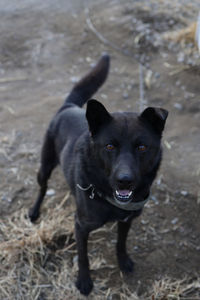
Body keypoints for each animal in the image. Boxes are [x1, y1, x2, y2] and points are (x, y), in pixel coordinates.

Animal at [28, 55, 168, 296]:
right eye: (110, 146)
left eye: (142, 147)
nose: (125, 180)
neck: (107, 195)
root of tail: (69, 106)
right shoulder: (81, 226)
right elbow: (83, 257)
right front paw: (84, 281)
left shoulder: (126, 220)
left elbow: (121, 243)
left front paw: (123, 262)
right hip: (45, 166)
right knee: (43, 187)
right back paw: (35, 211)